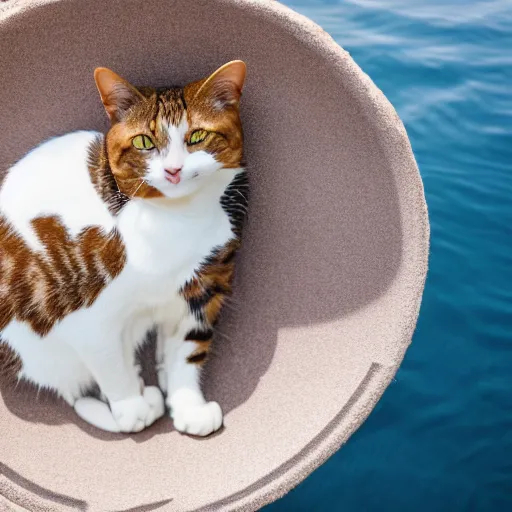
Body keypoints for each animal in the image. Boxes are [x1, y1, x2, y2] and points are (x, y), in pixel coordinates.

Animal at [0, 60, 248, 436]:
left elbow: (188, 351)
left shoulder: (201, 290)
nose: (173, 170)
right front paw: (131, 407)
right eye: (144, 141)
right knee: (71, 385)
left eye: (197, 137)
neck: (178, 219)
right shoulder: (87, 316)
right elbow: (109, 365)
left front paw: (189, 406)